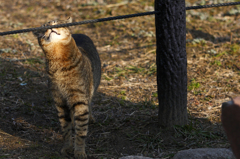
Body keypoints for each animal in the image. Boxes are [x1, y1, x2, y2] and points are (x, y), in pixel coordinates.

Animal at [33, 17, 101, 159]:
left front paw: (79, 151)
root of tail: (81, 33)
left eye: (56, 22)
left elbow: (81, 132)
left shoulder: (80, 100)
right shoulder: (60, 101)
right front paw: (67, 147)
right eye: (44, 27)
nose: (51, 27)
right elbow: (66, 129)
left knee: (89, 103)